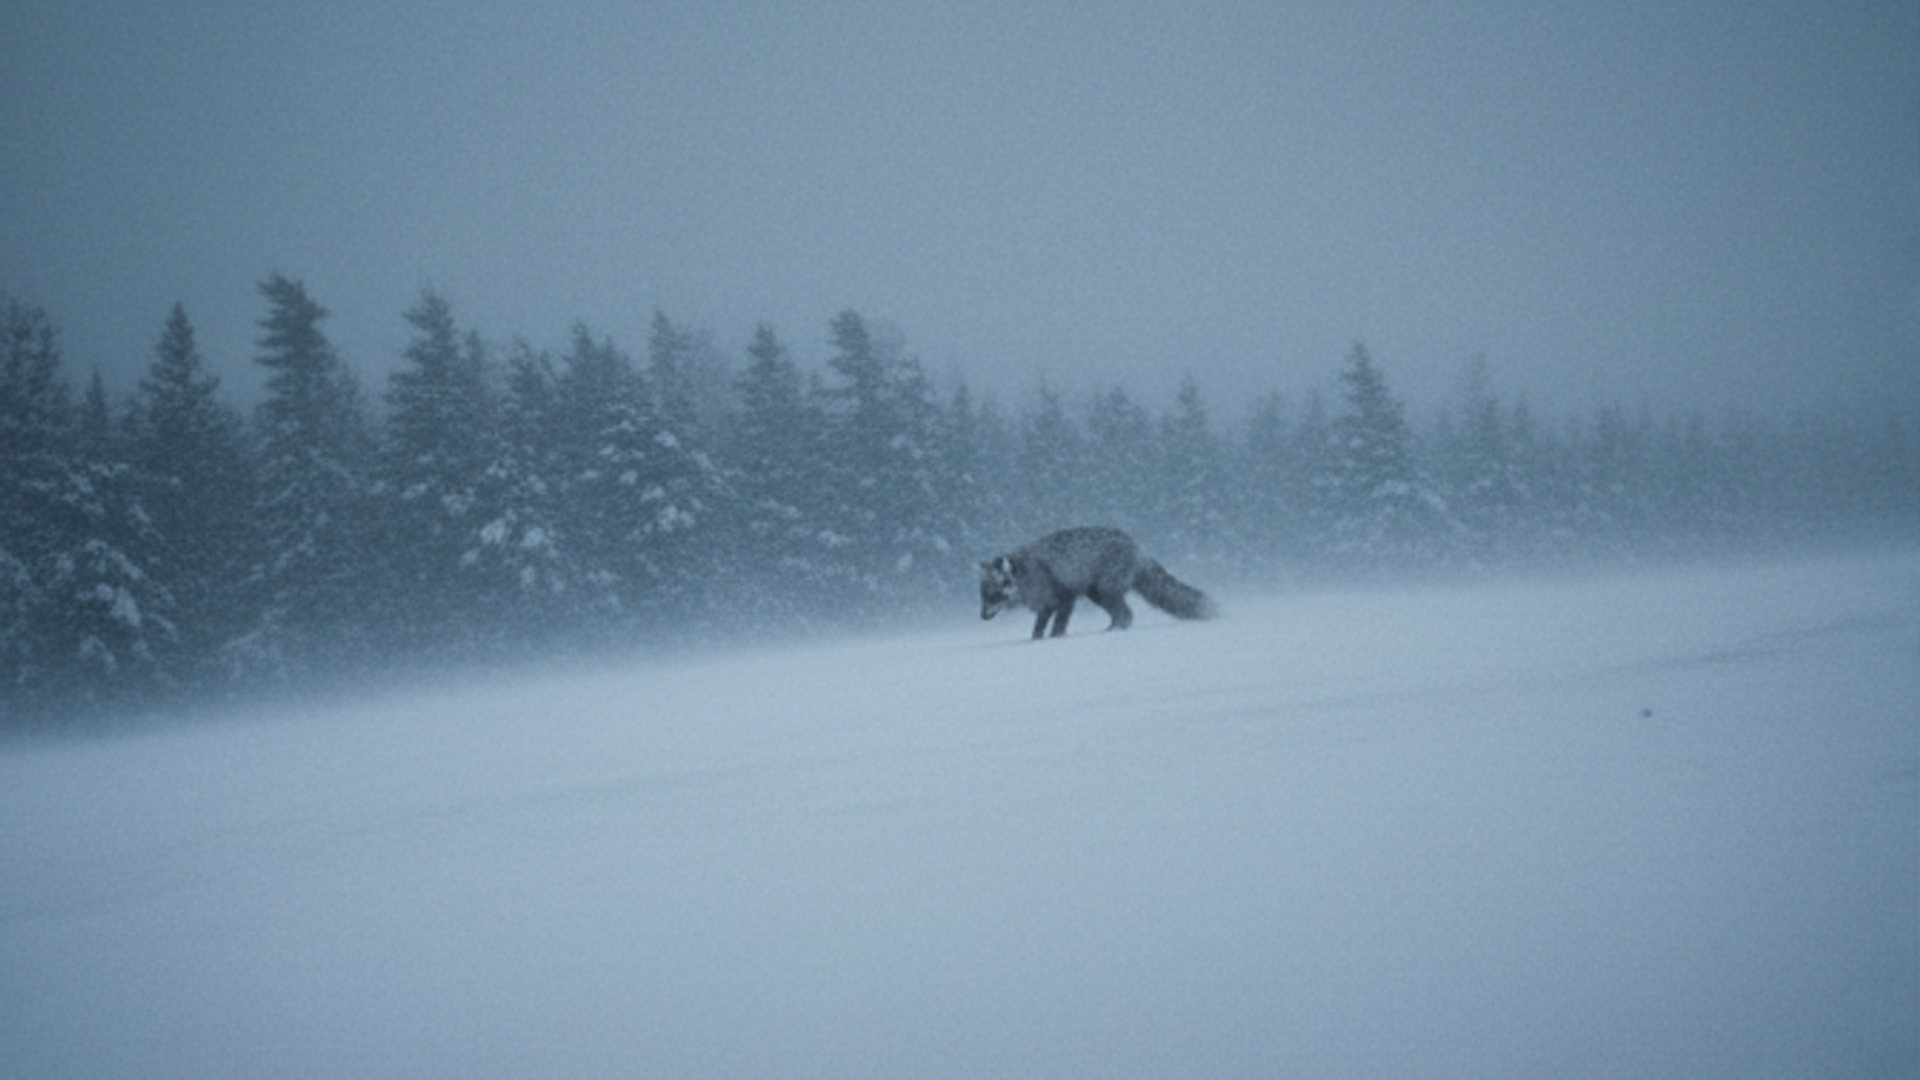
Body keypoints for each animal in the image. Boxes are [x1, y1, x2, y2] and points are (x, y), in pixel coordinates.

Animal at [979, 526, 1218, 639]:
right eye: (983, 596)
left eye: (995, 595)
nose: (982, 617)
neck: (1028, 576)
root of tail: (1138, 547)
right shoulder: (1046, 605)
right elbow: (1038, 630)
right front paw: (1037, 641)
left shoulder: (1065, 599)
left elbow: (1057, 627)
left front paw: (1056, 640)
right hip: (1097, 594)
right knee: (1123, 616)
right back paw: (1109, 630)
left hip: (1104, 592)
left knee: (1126, 615)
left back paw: (1110, 632)